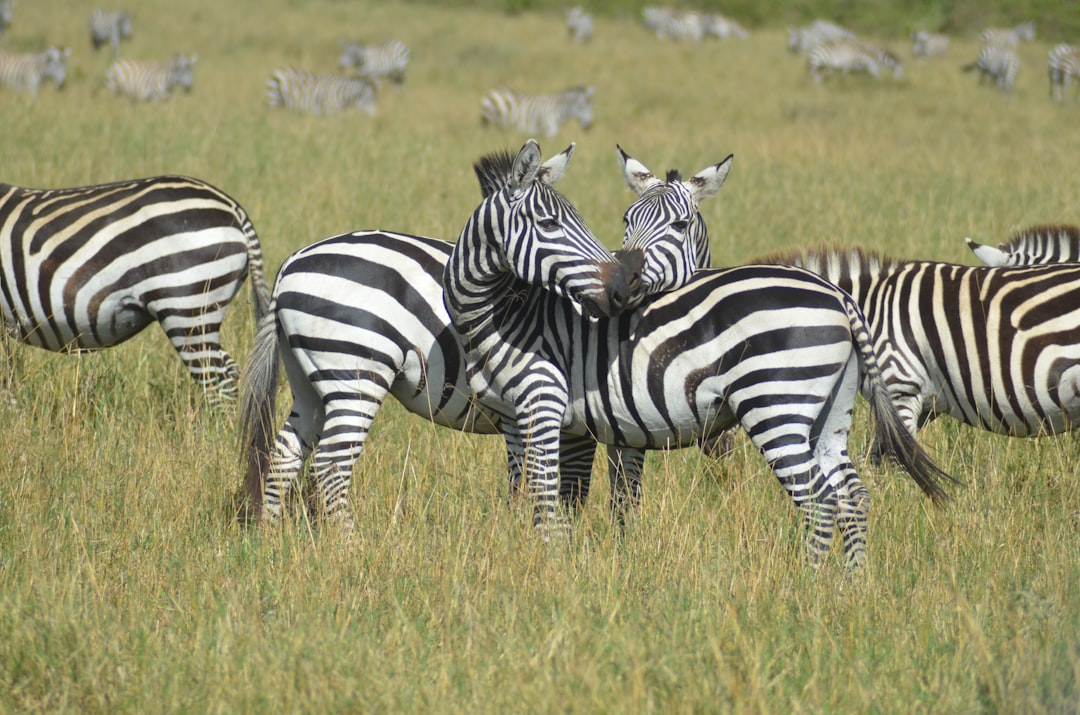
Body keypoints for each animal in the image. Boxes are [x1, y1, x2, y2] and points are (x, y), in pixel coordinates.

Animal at [236, 144, 734, 527]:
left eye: (680, 226)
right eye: (627, 220)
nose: (622, 288)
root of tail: (291, 264)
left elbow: (604, 489)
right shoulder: (582, 420)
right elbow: (581, 491)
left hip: (310, 380)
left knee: (284, 457)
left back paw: (270, 543)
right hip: (355, 374)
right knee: (333, 465)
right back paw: (348, 549)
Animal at [442, 141, 950, 570]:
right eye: (549, 225)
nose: (616, 291)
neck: (513, 314)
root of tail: (839, 295)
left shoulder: (545, 405)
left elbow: (549, 501)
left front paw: (551, 568)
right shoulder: (521, 419)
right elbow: (529, 496)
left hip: (776, 407)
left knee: (818, 501)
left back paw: (809, 586)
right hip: (829, 414)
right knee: (852, 496)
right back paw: (851, 585)